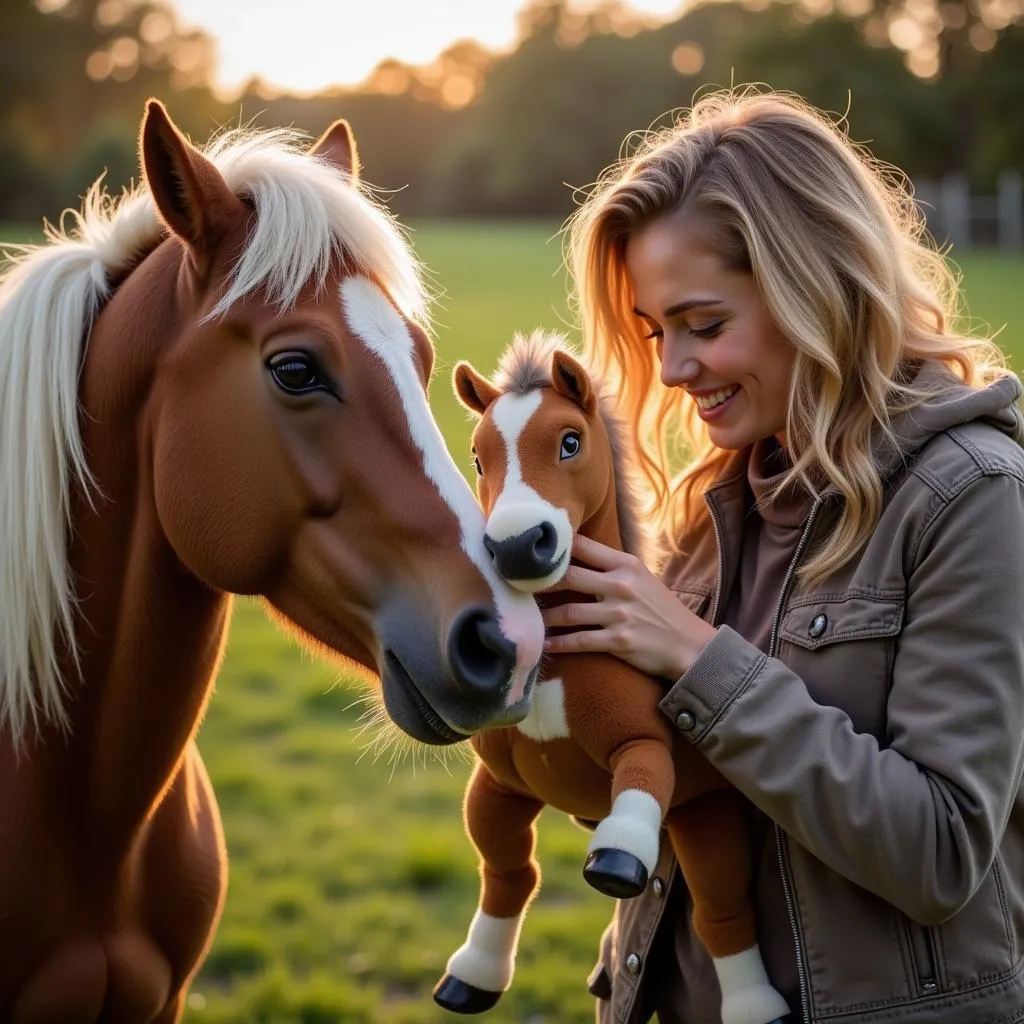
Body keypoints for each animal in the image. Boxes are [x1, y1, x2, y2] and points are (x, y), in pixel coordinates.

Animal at [430, 331, 782, 1024]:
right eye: (479, 457)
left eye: (570, 441)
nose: (519, 546)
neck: (559, 661)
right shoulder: (501, 782)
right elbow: (507, 872)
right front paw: (474, 974)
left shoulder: (643, 741)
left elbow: (642, 774)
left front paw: (618, 856)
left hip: (705, 814)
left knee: (721, 911)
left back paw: (758, 1006)